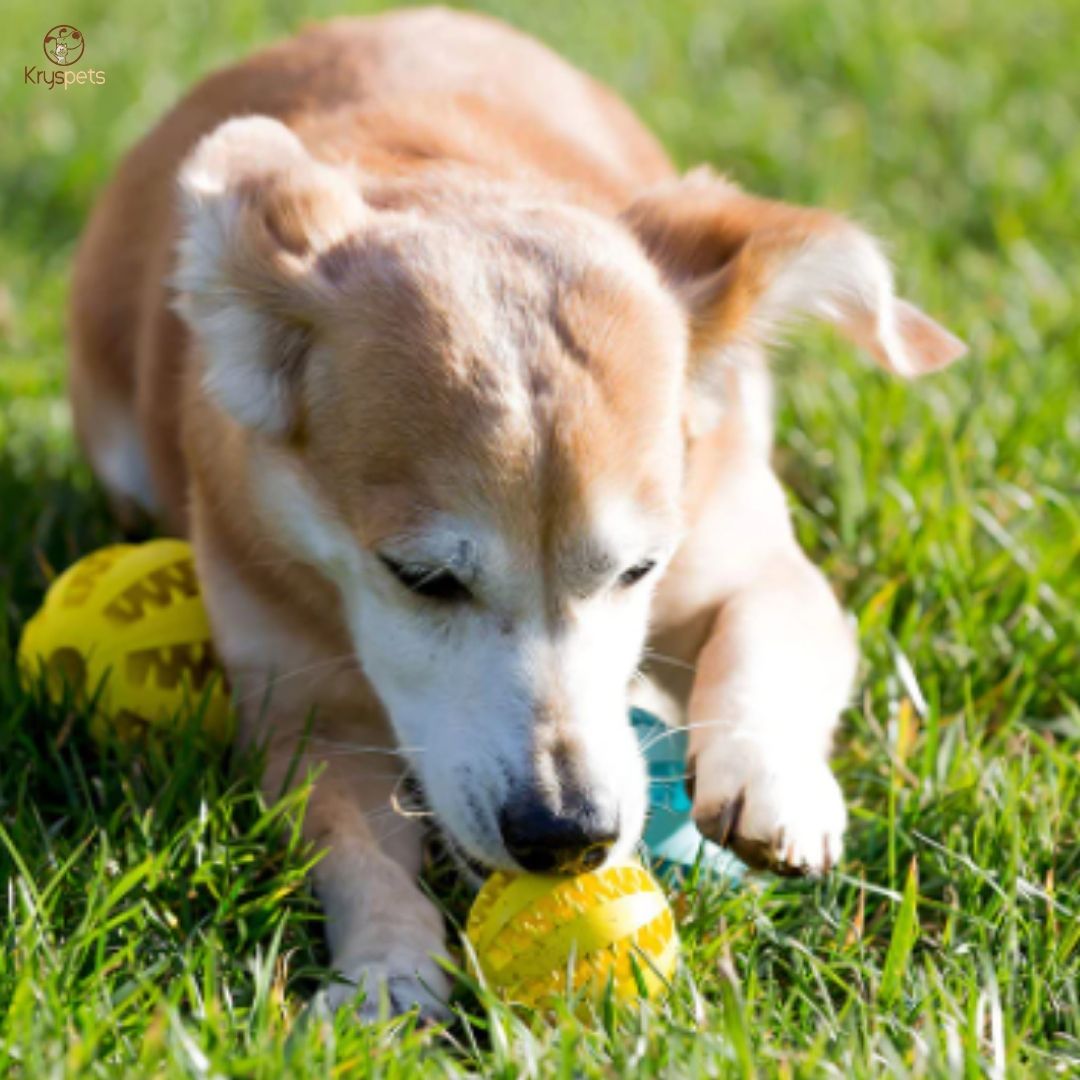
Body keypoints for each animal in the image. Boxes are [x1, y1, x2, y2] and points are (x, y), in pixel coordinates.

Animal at [65, 10, 963, 1019]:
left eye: (639, 570)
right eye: (421, 578)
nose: (569, 833)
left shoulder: (749, 557)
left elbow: (768, 629)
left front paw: (770, 781)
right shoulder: (304, 713)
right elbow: (353, 847)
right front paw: (385, 971)